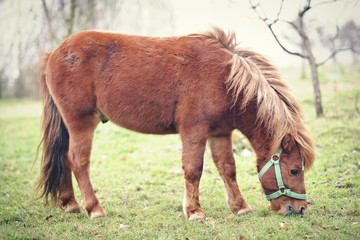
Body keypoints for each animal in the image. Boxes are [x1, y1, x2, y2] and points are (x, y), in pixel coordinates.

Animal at [35, 26, 314, 219]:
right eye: (294, 170)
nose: (300, 208)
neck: (226, 79)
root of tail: (55, 53)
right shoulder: (194, 131)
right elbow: (193, 170)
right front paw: (194, 212)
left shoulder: (221, 133)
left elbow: (227, 168)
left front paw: (240, 207)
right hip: (81, 123)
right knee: (78, 161)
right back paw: (95, 209)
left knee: (63, 158)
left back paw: (70, 204)